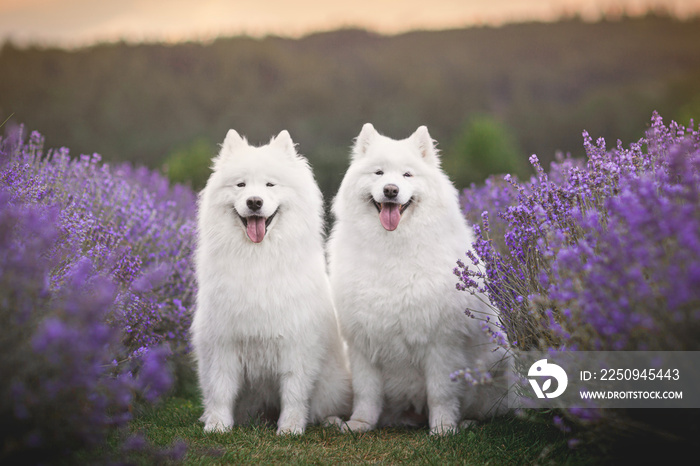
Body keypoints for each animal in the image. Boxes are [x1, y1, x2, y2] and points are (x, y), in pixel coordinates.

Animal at [191, 129, 352, 436]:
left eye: (270, 184)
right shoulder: (223, 341)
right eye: (241, 184)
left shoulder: (296, 343)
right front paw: (217, 424)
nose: (254, 201)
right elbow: (220, 388)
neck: (258, 258)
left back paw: (332, 421)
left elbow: (294, 391)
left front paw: (290, 428)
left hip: (332, 385)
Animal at [326, 124, 512, 436]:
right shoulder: (362, 343)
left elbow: (441, 392)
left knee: (489, 410)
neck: (392, 247)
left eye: (407, 175)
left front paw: (444, 428)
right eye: (379, 173)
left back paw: (467, 422)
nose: (391, 190)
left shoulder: (441, 343)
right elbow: (366, 393)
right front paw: (359, 424)